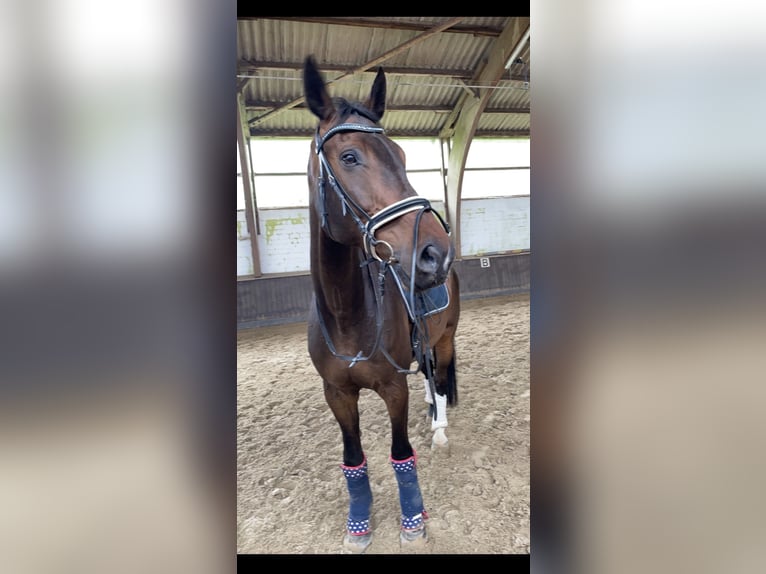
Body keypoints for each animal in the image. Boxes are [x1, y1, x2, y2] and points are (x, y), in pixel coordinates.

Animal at [304, 56, 462, 556]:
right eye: (350, 157)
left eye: (403, 156)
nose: (435, 253)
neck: (347, 314)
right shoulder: (337, 392)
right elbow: (353, 458)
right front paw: (359, 523)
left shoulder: (394, 387)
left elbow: (400, 453)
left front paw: (413, 519)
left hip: (445, 338)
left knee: (440, 374)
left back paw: (439, 426)